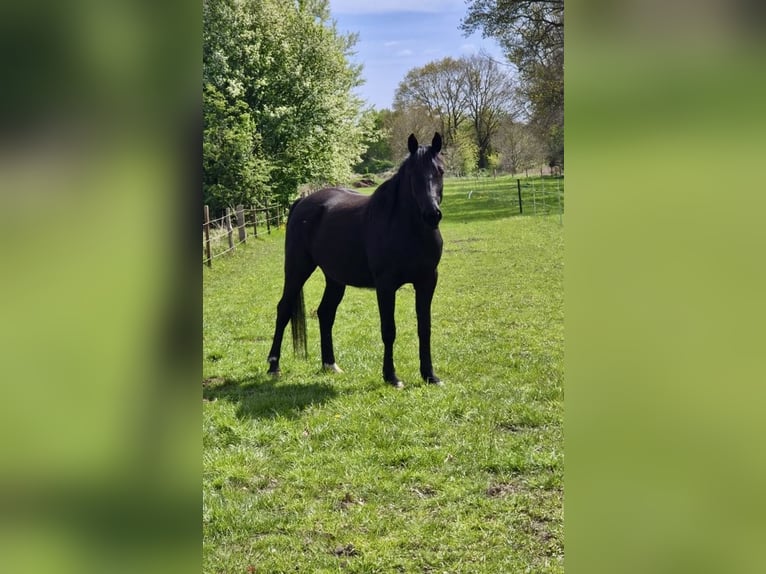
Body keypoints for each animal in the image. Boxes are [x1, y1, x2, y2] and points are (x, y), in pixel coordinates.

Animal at [267, 132, 445, 388]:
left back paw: (330, 364)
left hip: (334, 279)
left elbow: (425, 328)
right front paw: (391, 377)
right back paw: (273, 366)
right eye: (413, 174)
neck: (408, 229)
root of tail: (302, 203)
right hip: (297, 269)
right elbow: (388, 330)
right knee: (284, 309)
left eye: (440, 171)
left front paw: (430, 375)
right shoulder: (386, 286)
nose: (432, 215)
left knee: (325, 313)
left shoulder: (427, 282)